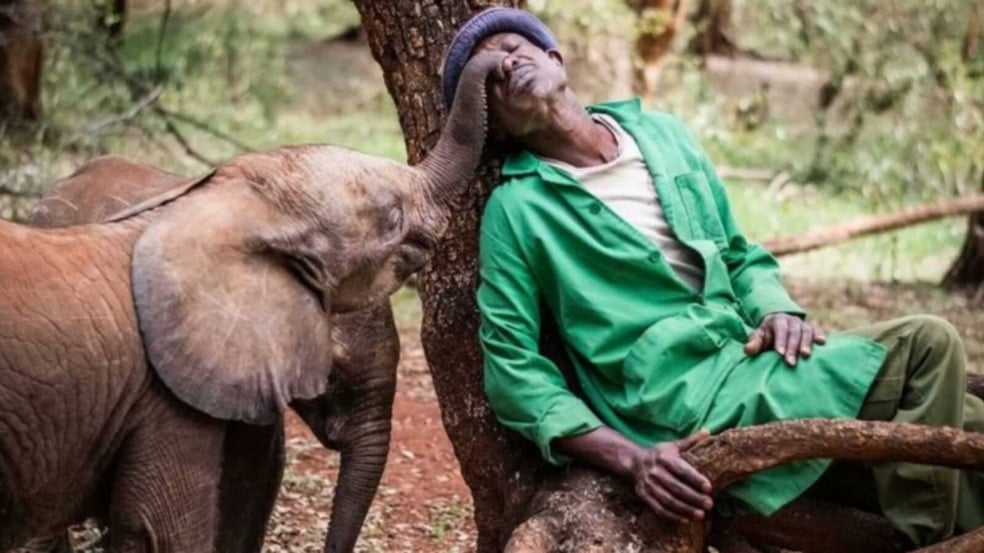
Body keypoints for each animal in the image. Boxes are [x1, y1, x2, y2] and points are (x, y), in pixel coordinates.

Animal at [0, 49, 505, 552]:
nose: (500, 63)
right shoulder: (169, 393)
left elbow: (254, 479)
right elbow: (161, 526)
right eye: (392, 218)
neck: (246, 208)